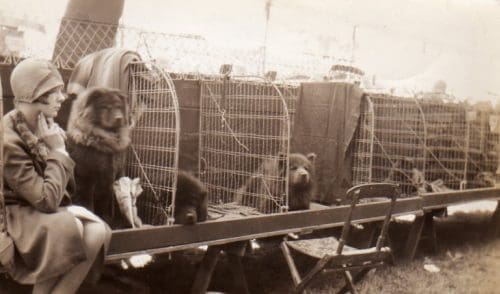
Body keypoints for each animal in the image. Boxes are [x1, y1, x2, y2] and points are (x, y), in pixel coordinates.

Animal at [66, 86, 131, 224]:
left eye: (118, 107)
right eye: (105, 107)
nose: (119, 118)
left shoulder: (112, 178)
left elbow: (105, 202)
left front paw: (107, 219)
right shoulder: (86, 178)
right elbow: (87, 203)